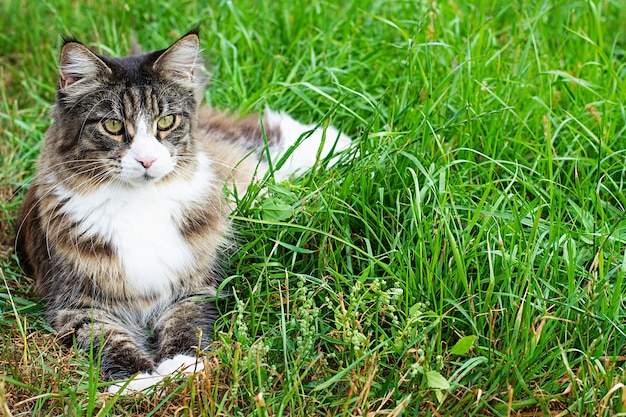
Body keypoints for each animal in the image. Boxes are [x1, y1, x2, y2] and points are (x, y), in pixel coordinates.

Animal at [14, 30, 348, 394]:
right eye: (113, 125)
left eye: (166, 122)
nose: (147, 160)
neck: (139, 203)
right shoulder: (77, 304)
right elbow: (109, 341)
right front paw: (139, 380)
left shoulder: (194, 286)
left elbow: (186, 324)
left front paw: (182, 367)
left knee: (266, 133)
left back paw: (343, 143)